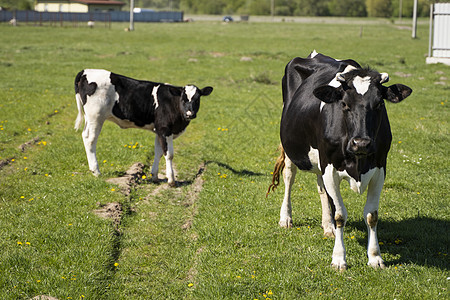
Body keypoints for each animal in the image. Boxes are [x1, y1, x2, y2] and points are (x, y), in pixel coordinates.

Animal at [74, 69, 214, 185]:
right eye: (183, 99)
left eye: (197, 99)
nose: (190, 114)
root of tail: (86, 71)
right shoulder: (165, 129)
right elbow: (169, 154)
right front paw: (171, 180)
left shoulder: (159, 130)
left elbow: (158, 152)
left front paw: (154, 176)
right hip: (96, 116)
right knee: (90, 139)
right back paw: (96, 171)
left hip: (89, 118)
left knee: (84, 135)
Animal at [268, 51, 414, 270]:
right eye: (344, 104)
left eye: (380, 104)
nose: (361, 143)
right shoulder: (330, 168)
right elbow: (340, 215)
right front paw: (338, 258)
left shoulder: (380, 169)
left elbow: (371, 215)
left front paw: (375, 257)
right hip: (291, 149)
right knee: (289, 177)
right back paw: (286, 218)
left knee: (321, 189)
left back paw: (327, 227)